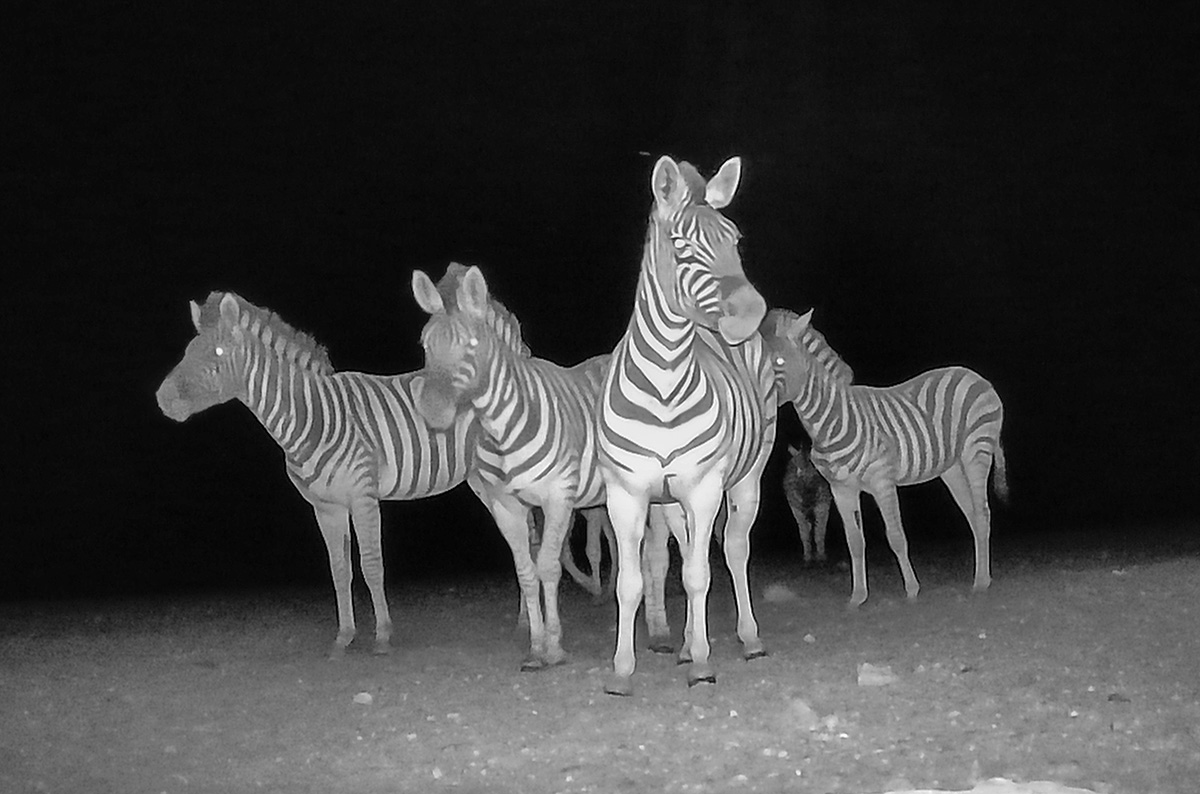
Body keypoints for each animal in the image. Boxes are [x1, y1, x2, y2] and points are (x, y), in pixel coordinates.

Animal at [155, 291, 476, 659]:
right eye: (186, 352)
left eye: (218, 352)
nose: (162, 398)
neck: (312, 417)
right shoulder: (326, 507)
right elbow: (339, 570)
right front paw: (344, 637)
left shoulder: (363, 496)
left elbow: (371, 565)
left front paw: (382, 636)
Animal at [409, 263, 611, 670]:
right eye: (425, 345)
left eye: (472, 345)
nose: (433, 410)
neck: (500, 427)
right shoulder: (505, 505)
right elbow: (526, 570)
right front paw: (535, 645)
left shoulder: (557, 497)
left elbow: (548, 565)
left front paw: (554, 646)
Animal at [598, 155, 778, 694]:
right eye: (681, 244)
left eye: (735, 239)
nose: (753, 314)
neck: (664, 383)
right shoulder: (627, 493)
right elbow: (630, 582)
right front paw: (622, 670)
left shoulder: (704, 487)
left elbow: (699, 577)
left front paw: (702, 663)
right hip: (671, 498)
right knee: (683, 545)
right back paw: (679, 646)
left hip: (746, 476)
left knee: (735, 549)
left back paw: (747, 639)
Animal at [761, 307, 1008, 607]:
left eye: (779, 360)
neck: (831, 422)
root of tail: (975, 376)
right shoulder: (841, 489)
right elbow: (855, 541)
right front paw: (857, 597)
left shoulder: (882, 481)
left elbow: (896, 536)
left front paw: (912, 589)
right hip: (951, 467)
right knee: (972, 514)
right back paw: (981, 575)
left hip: (977, 452)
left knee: (983, 513)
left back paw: (981, 582)